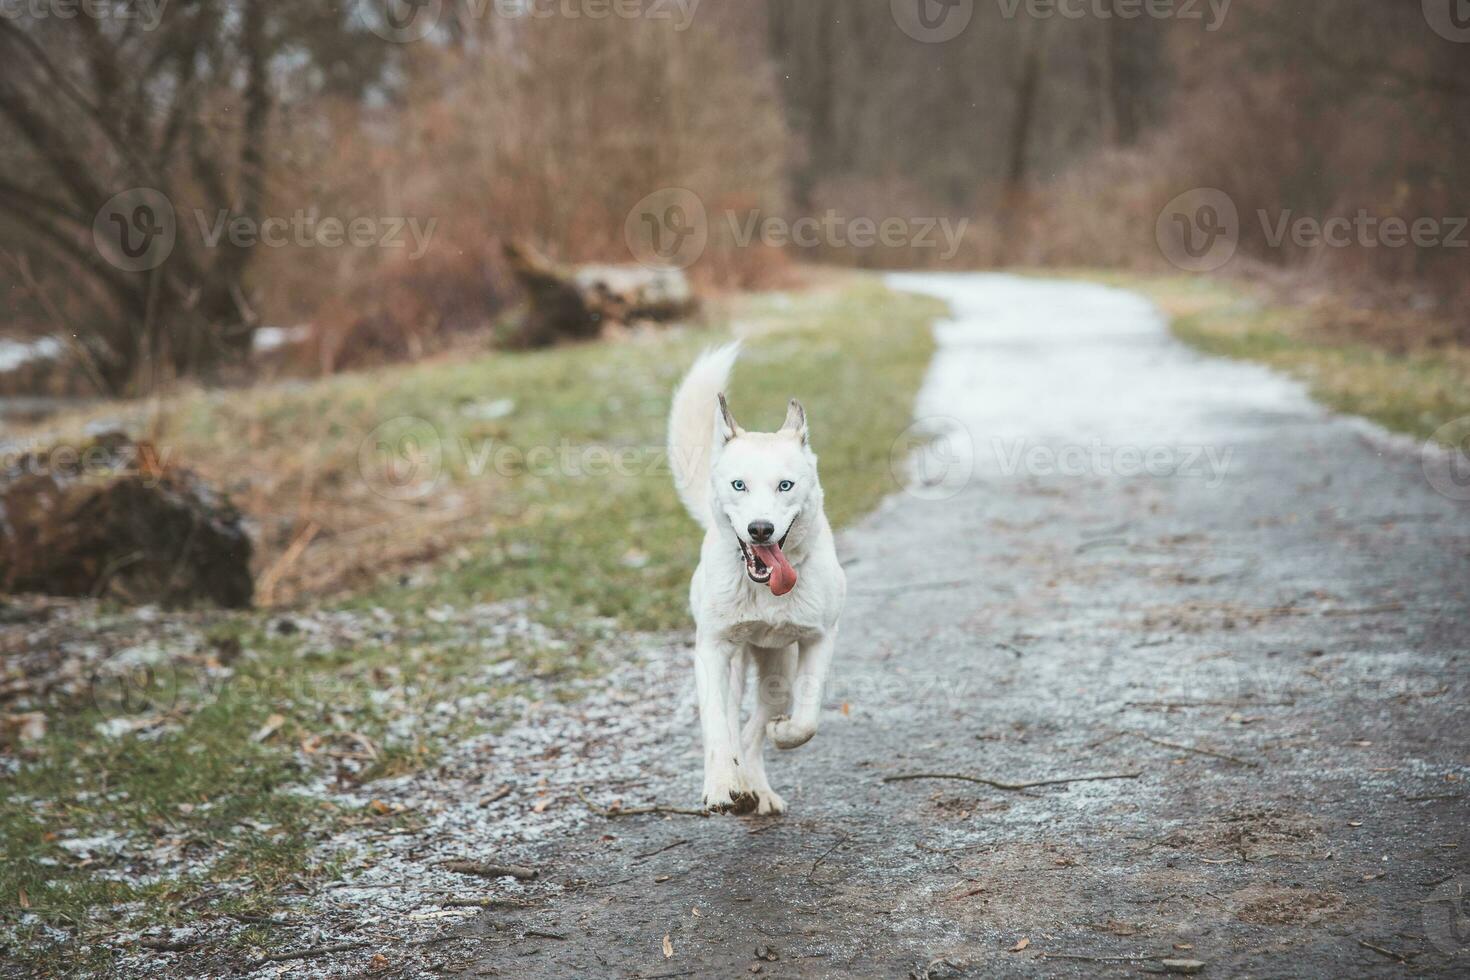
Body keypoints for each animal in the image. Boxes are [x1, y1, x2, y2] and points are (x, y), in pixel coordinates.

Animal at [670, 345, 852, 811]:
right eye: (740, 485)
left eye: (785, 485)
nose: (760, 529)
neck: (763, 590)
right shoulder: (712, 648)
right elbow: (718, 728)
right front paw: (720, 784)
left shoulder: (820, 638)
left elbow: (806, 720)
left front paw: (785, 734)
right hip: (735, 664)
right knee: (733, 725)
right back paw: (737, 784)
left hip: (777, 675)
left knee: (754, 731)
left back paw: (759, 789)